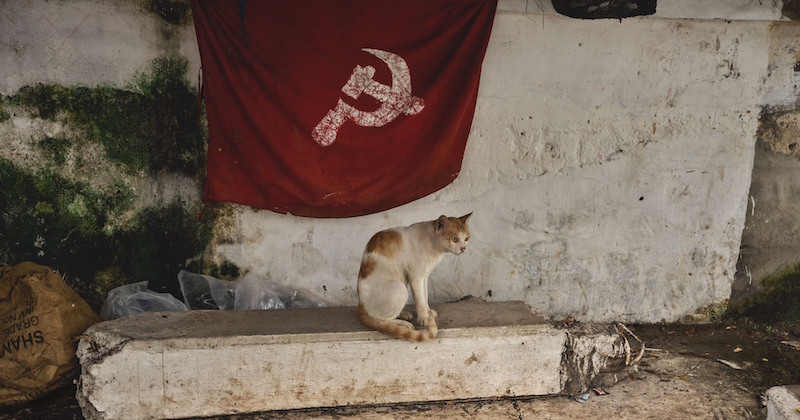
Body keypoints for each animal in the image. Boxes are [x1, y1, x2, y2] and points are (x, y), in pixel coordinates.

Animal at [354, 213, 468, 342]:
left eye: (466, 239)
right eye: (455, 239)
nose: (464, 248)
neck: (433, 244)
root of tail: (360, 305)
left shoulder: (424, 276)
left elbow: (425, 296)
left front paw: (428, 312)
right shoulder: (416, 277)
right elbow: (420, 299)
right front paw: (424, 318)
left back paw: (403, 314)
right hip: (400, 289)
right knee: (380, 319)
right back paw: (403, 324)